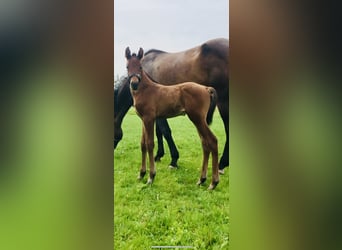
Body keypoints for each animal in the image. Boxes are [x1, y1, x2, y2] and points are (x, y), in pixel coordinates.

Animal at [125, 47, 219, 189]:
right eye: (127, 67)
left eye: (140, 67)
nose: (134, 84)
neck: (146, 90)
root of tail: (205, 88)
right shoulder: (143, 119)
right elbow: (142, 144)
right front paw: (141, 174)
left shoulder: (149, 118)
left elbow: (150, 144)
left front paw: (151, 177)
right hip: (199, 120)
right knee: (205, 143)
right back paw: (202, 180)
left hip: (197, 118)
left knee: (212, 141)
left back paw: (213, 183)